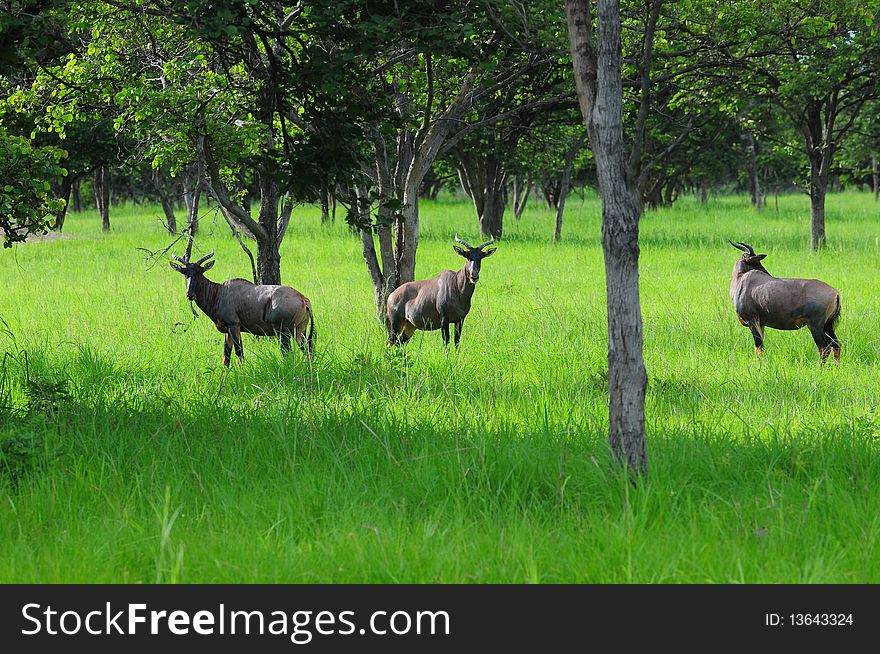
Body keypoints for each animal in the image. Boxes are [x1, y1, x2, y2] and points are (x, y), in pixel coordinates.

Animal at [170, 251, 314, 366]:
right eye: (185, 273)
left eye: (200, 272)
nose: (190, 294)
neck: (220, 292)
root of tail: (303, 299)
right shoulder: (228, 331)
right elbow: (226, 359)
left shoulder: (234, 326)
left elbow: (240, 355)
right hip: (300, 331)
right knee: (309, 351)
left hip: (284, 332)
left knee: (288, 354)